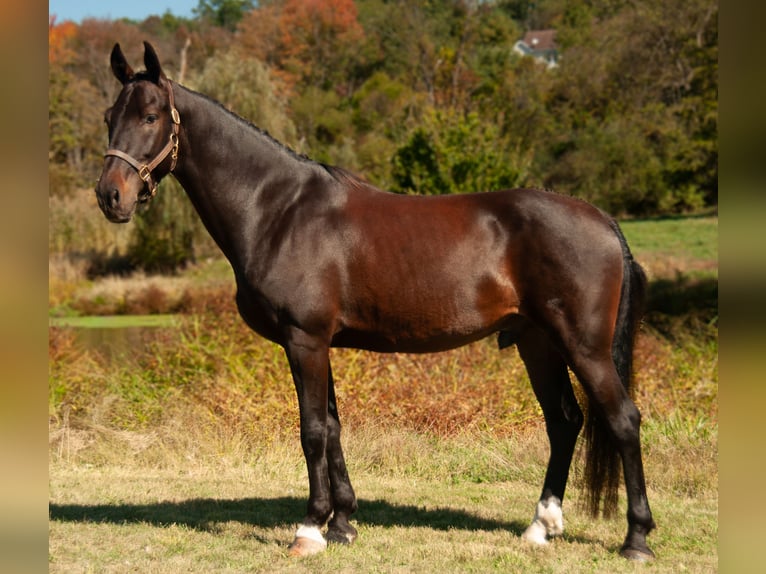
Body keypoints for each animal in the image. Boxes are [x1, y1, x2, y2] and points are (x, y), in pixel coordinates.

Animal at [95, 42, 655, 561]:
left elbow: (312, 431)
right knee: (564, 422)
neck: (278, 210)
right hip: (537, 343)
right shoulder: (318, 343)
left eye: (149, 117)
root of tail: (604, 221)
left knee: (623, 420)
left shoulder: (304, 340)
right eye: (108, 118)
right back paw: (540, 527)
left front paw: (309, 530)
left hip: (583, 347)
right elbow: (334, 429)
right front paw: (343, 525)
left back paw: (637, 539)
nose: (110, 196)